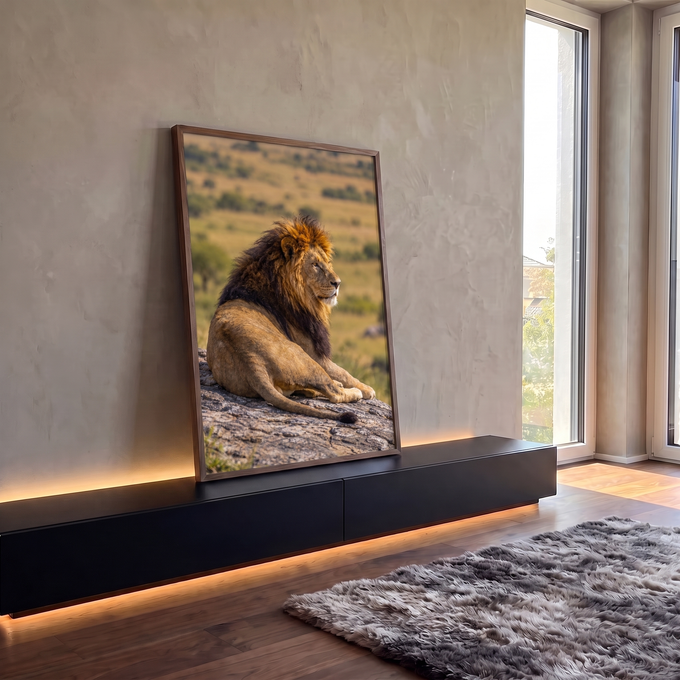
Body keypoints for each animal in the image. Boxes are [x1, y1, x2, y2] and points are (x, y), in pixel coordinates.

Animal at [206, 215, 376, 423]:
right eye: (316, 265)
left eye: (327, 262)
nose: (338, 283)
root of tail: (251, 362)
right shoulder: (315, 353)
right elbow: (343, 371)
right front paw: (366, 389)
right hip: (302, 357)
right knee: (332, 391)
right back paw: (351, 391)